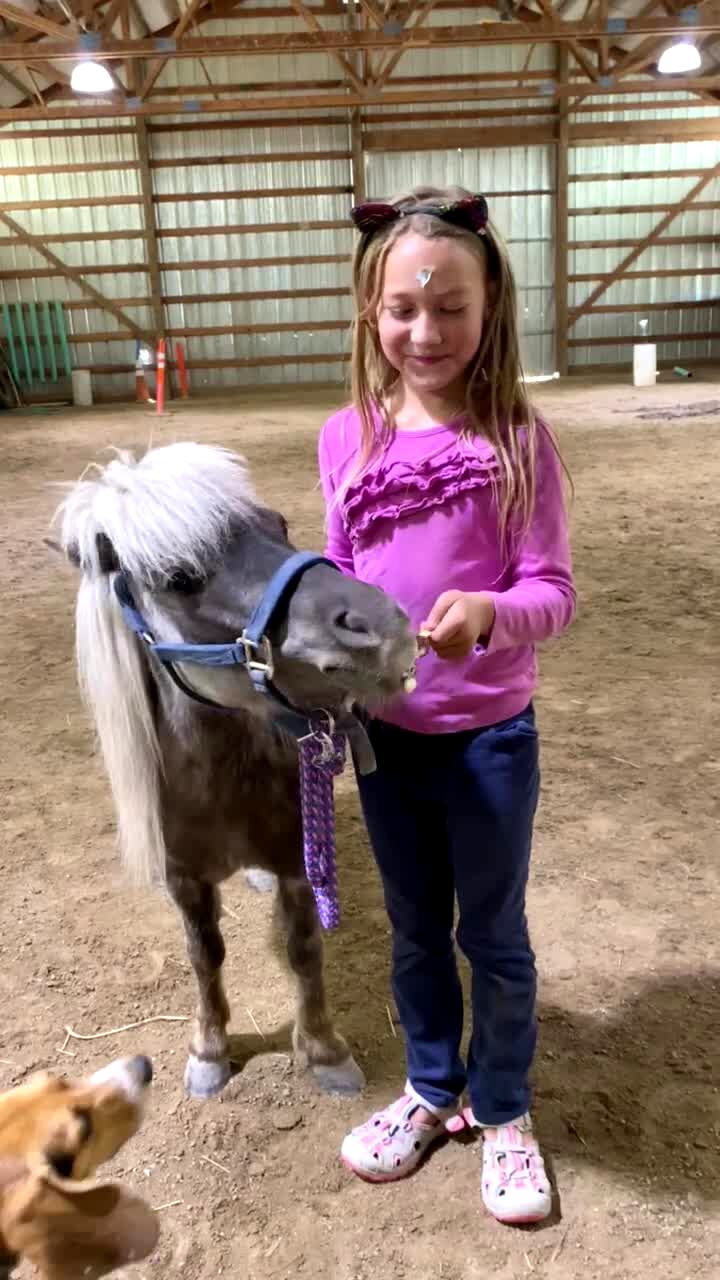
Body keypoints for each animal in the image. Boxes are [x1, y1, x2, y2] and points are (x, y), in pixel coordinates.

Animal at [56, 441, 416, 1101]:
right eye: (178, 577)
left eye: (280, 526)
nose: (383, 625)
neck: (220, 785)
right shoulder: (186, 880)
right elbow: (205, 955)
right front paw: (210, 1050)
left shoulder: (297, 865)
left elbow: (304, 949)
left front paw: (323, 1050)